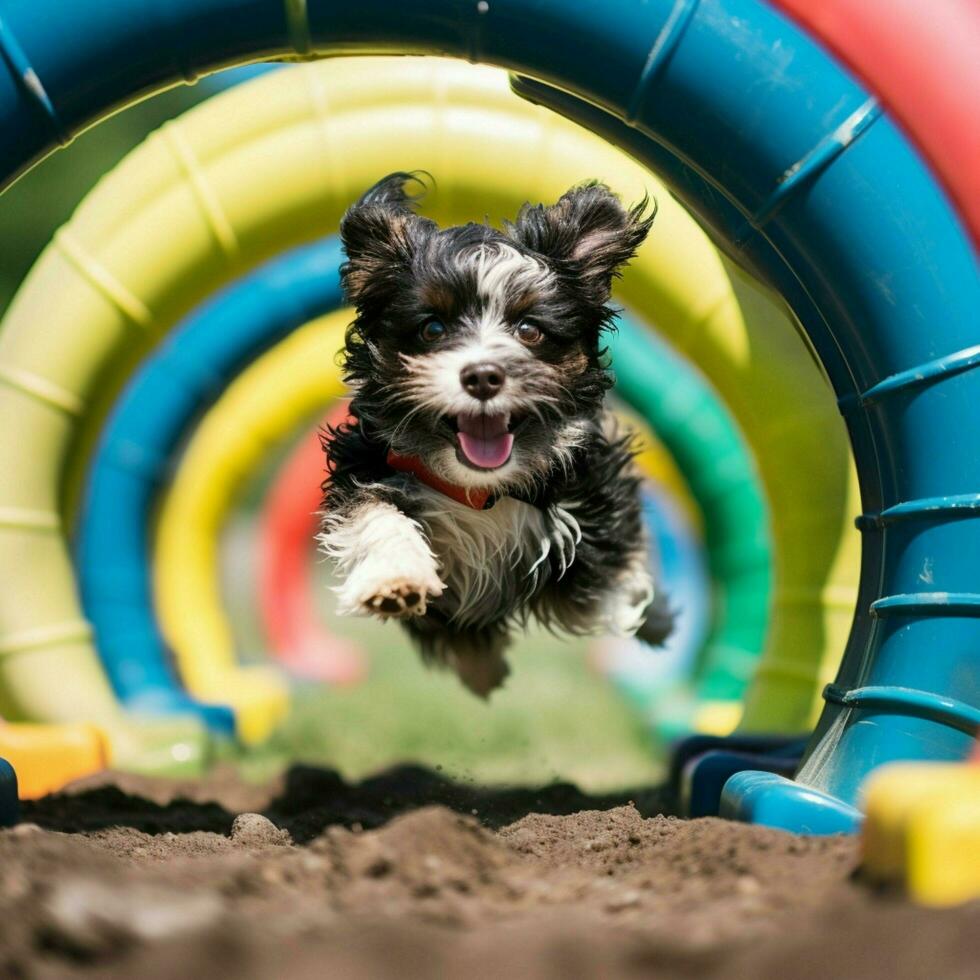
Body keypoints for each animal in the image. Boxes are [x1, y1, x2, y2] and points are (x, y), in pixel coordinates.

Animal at [318, 176, 668, 696]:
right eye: (432, 327)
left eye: (528, 329)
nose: (483, 375)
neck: (481, 491)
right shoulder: (365, 464)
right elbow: (374, 515)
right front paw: (395, 581)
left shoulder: (593, 494)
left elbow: (607, 580)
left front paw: (647, 614)